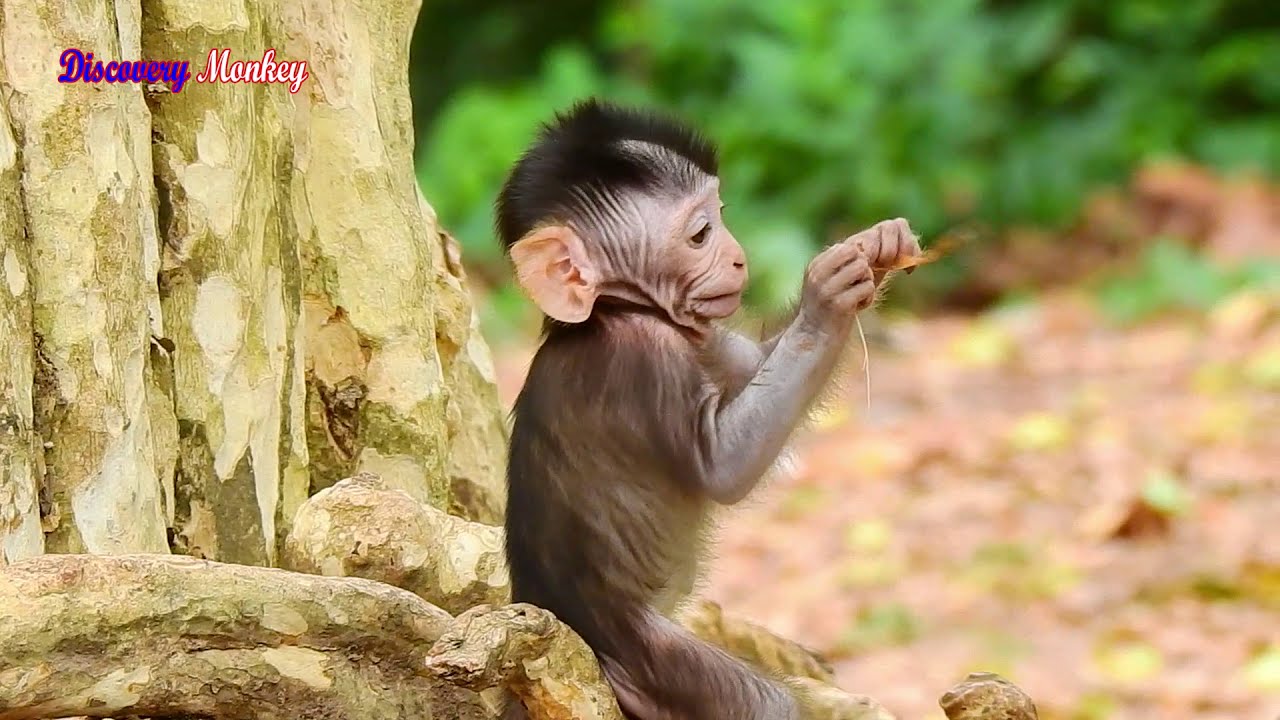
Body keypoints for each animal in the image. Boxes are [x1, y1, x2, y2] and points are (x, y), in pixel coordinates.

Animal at [497, 98, 920, 720]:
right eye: (701, 234)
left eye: (721, 217)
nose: (740, 259)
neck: (615, 308)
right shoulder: (646, 358)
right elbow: (724, 468)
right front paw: (828, 299)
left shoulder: (701, 336)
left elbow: (756, 367)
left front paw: (879, 246)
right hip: (641, 655)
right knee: (765, 704)